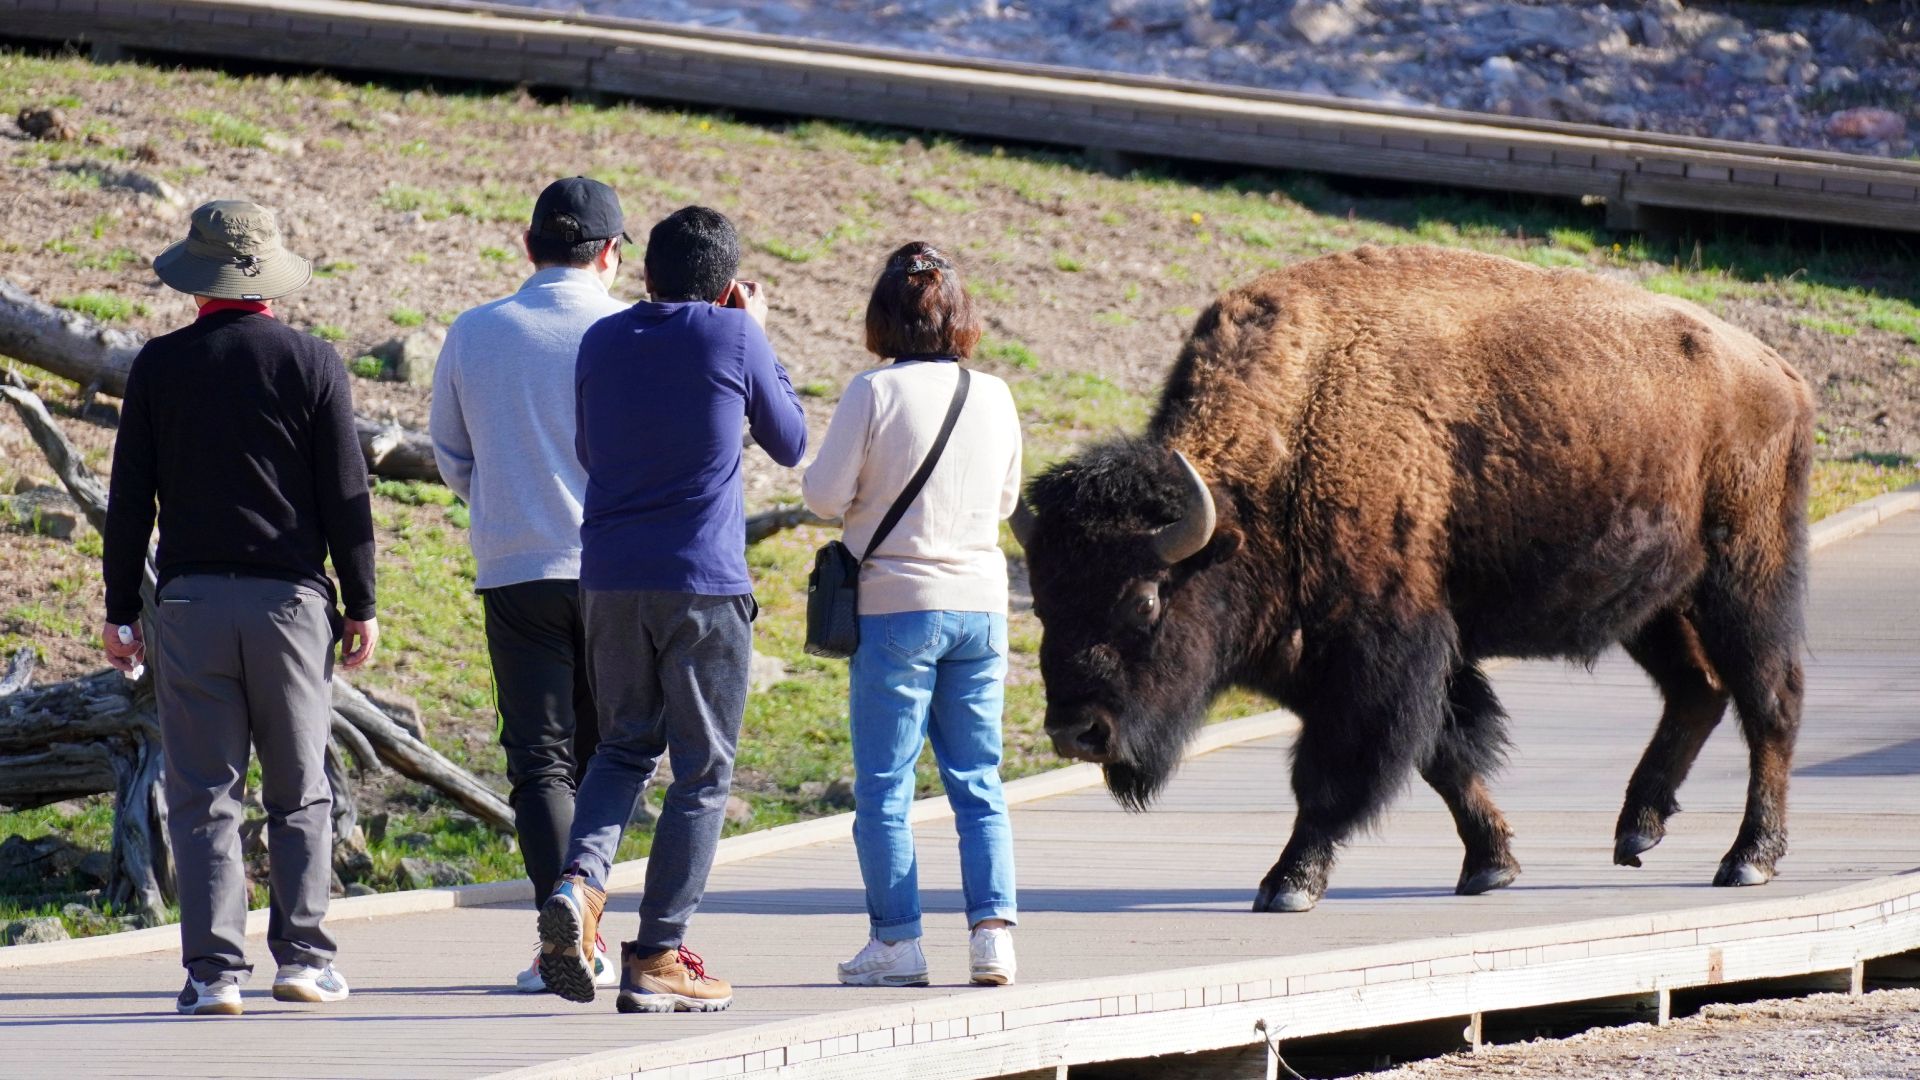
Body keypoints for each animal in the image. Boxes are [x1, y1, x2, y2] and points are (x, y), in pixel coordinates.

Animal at [1012, 245, 1814, 912]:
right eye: (1044, 604)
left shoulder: (1379, 657)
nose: (1077, 731)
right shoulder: (1383, 661)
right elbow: (1444, 756)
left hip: (1744, 579)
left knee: (1769, 700)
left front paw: (1288, 884)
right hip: (1654, 605)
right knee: (1698, 689)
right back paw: (1636, 832)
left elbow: (1337, 773)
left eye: (1145, 597)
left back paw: (1748, 859)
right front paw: (1490, 866)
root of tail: (1778, 372)